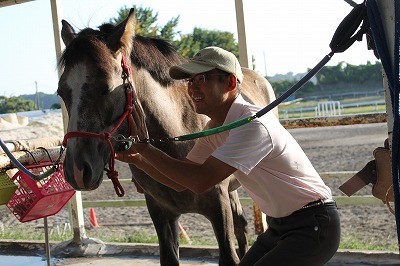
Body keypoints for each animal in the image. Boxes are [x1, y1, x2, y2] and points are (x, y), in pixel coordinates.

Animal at [58, 8, 276, 266]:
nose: (77, 170)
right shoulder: (161, 212)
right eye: (61, 91)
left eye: (106, 88)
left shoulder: (218, 207)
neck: (176, 139)